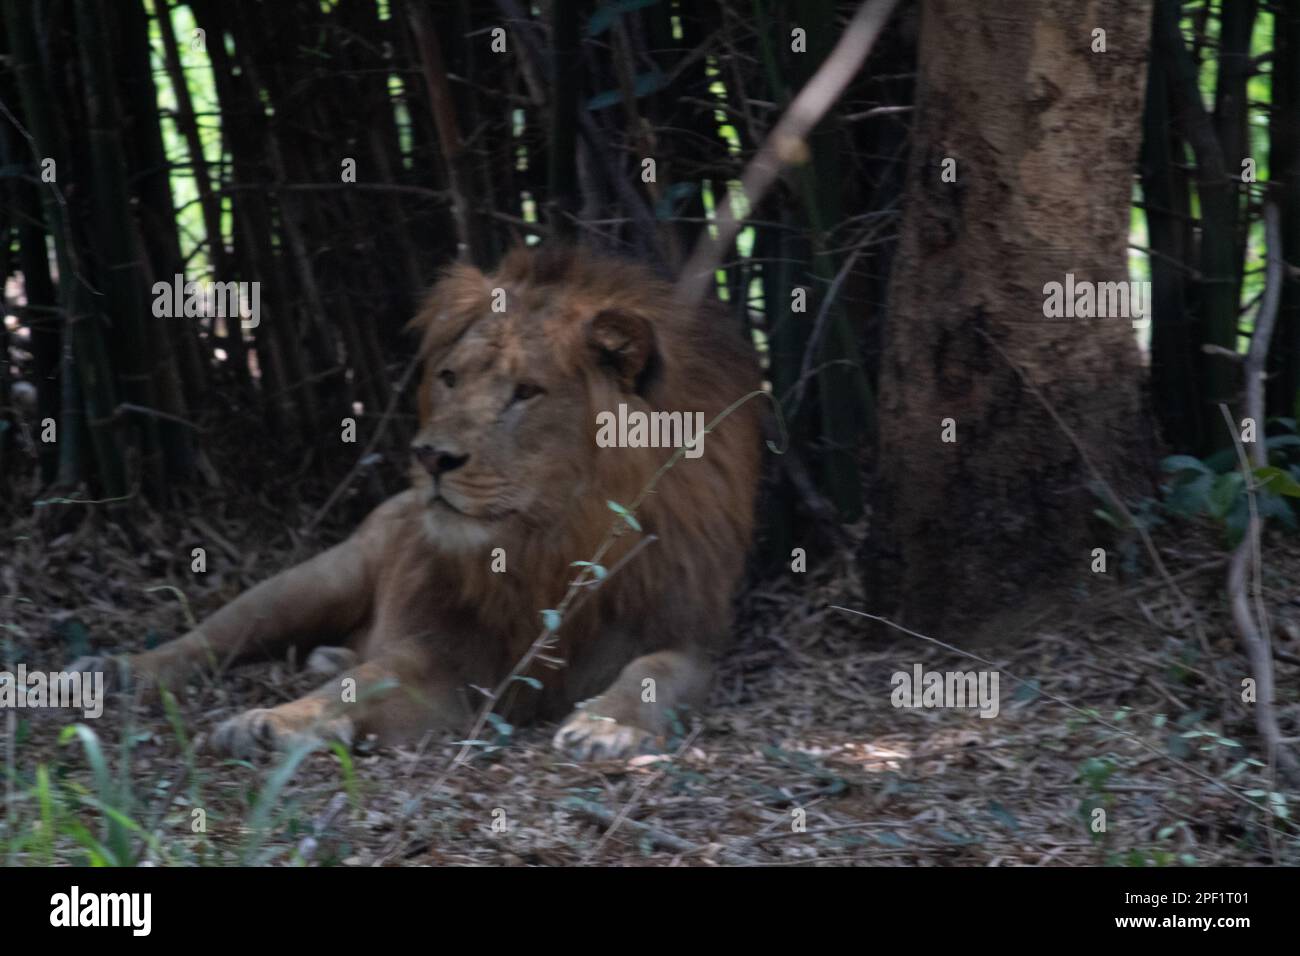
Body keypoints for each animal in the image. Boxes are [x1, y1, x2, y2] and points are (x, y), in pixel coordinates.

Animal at [68, 247, 759, 764]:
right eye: (451, 378)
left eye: (526, 392)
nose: (429, 456)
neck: (553, 545)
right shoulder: (449, 656)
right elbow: (360, 686)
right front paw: (270, 722)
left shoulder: (687, 634)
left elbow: (655, 672)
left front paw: (605, 727)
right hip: (319, 578)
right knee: (210, 638)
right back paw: (118, 670)